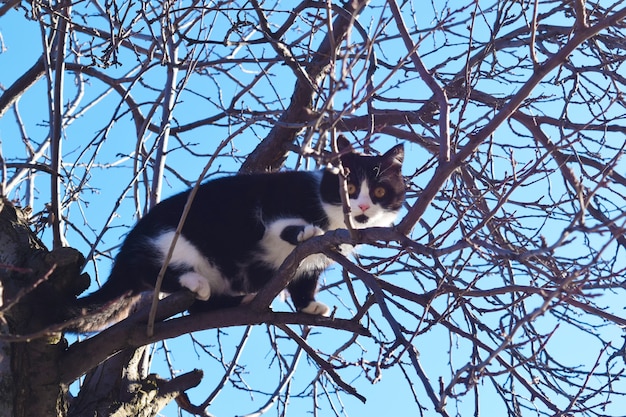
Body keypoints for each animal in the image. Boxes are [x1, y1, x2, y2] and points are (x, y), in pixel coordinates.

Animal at [67, 137, 400, 332]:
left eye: (380, 191)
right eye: (350, 188)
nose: (363, 206)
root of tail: (124, 254)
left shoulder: (312, 263)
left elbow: (304, 278)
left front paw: (309, 305)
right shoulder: (274, 200)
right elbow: (280, 223)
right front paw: (306, 231)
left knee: (196, 306)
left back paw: (237, 299)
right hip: (173, 238)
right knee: (154, 270)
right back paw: (195, 282)